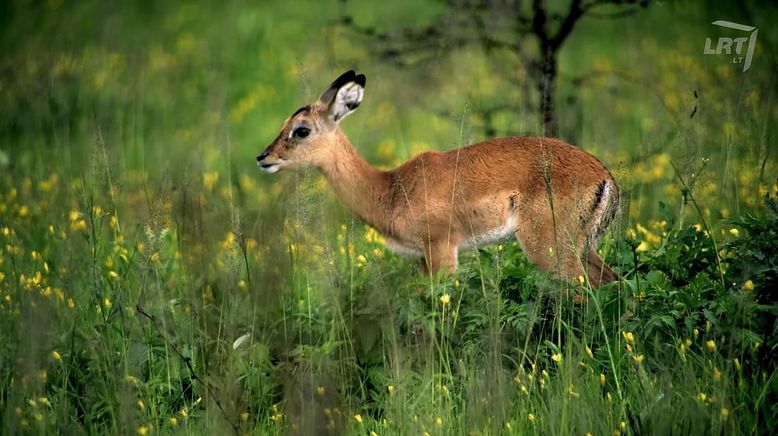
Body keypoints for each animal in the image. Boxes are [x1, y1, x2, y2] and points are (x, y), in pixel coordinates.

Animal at [255, 70, 620, 288]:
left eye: (301, 130)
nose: (263, 157)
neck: (388, 188)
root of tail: (605, 177)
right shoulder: (421, 258)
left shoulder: (442, 250)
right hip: (584, 249)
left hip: (550, 250)